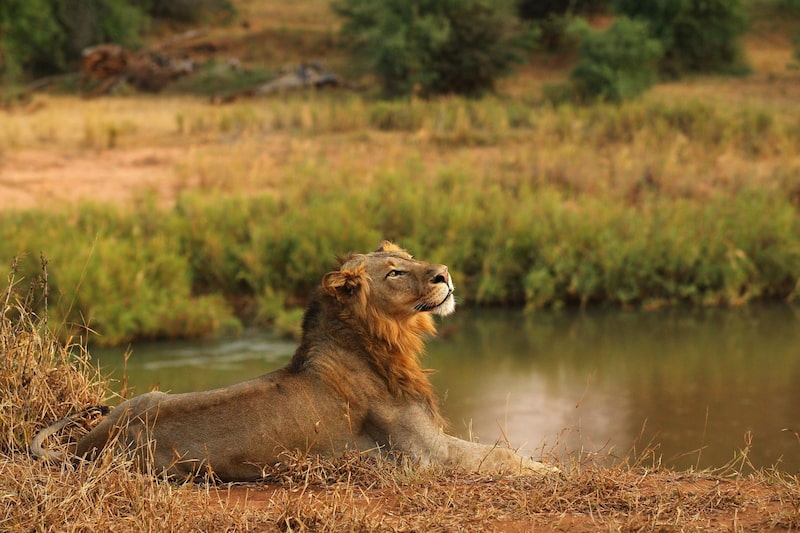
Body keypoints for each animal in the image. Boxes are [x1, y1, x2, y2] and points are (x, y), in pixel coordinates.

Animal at [31, 241, 554, 480]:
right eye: (396, 272)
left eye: (409, 257)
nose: (444, 274)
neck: (388, 343)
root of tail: (91, 443)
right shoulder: (425, 457)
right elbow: (500, 454)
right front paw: (553, 471)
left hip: (145, 396)